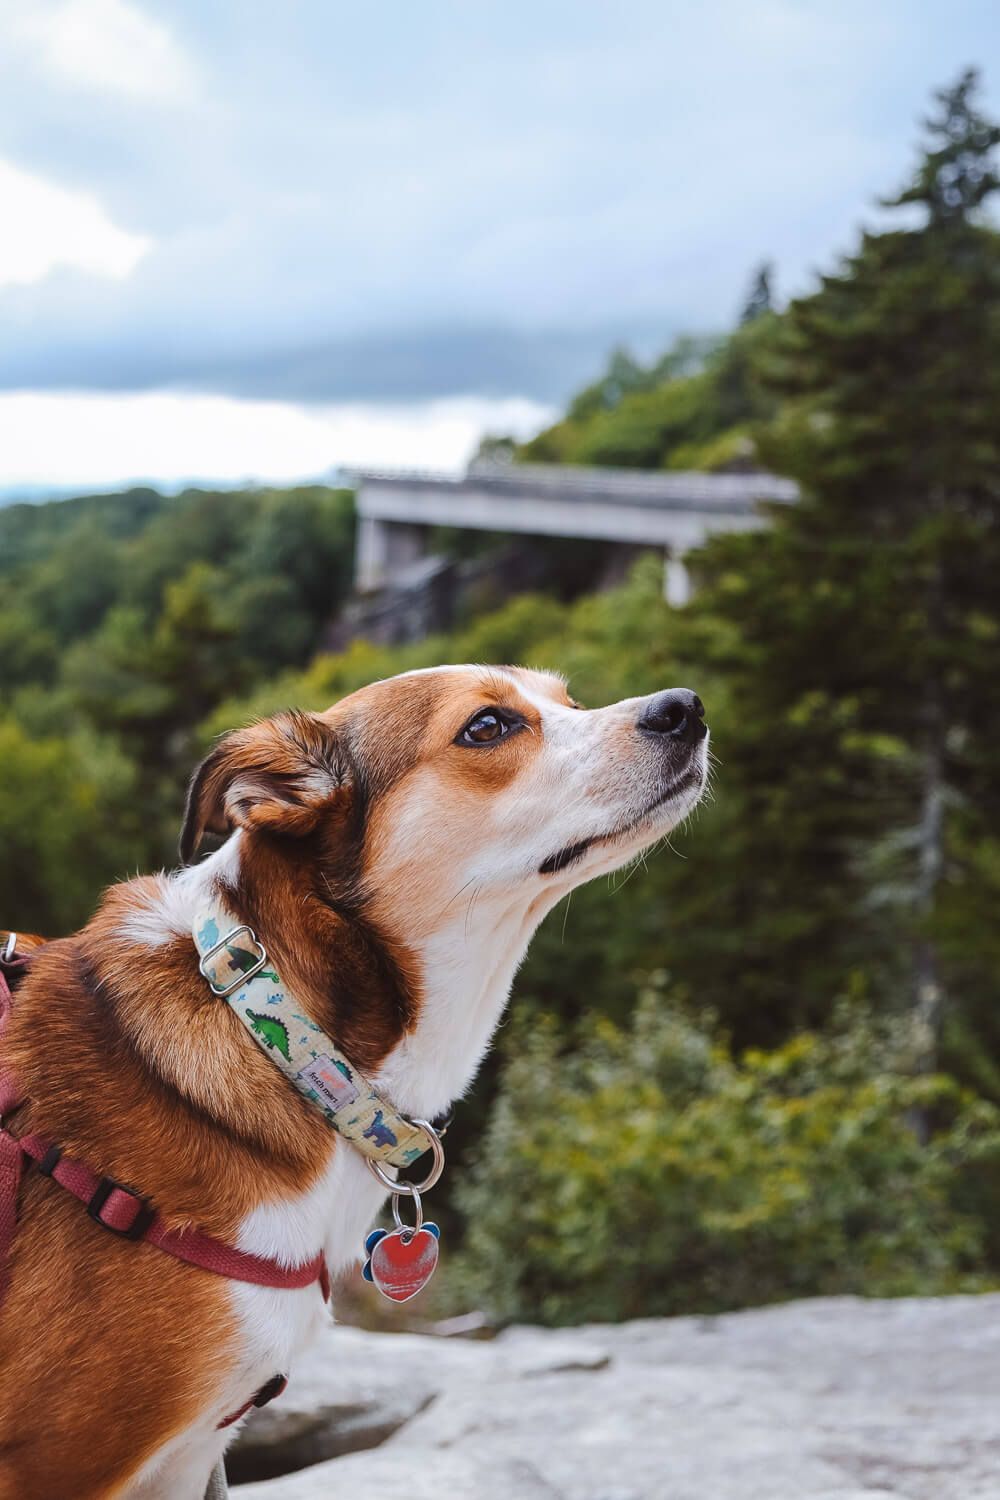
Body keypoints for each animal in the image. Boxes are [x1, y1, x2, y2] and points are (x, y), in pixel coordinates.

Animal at [0, 669, 707, 1500]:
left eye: (567, 697)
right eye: (488, 726)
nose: (685, 708)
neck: (275, 1027)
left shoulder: (184, 1462)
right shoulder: (60, 1460)